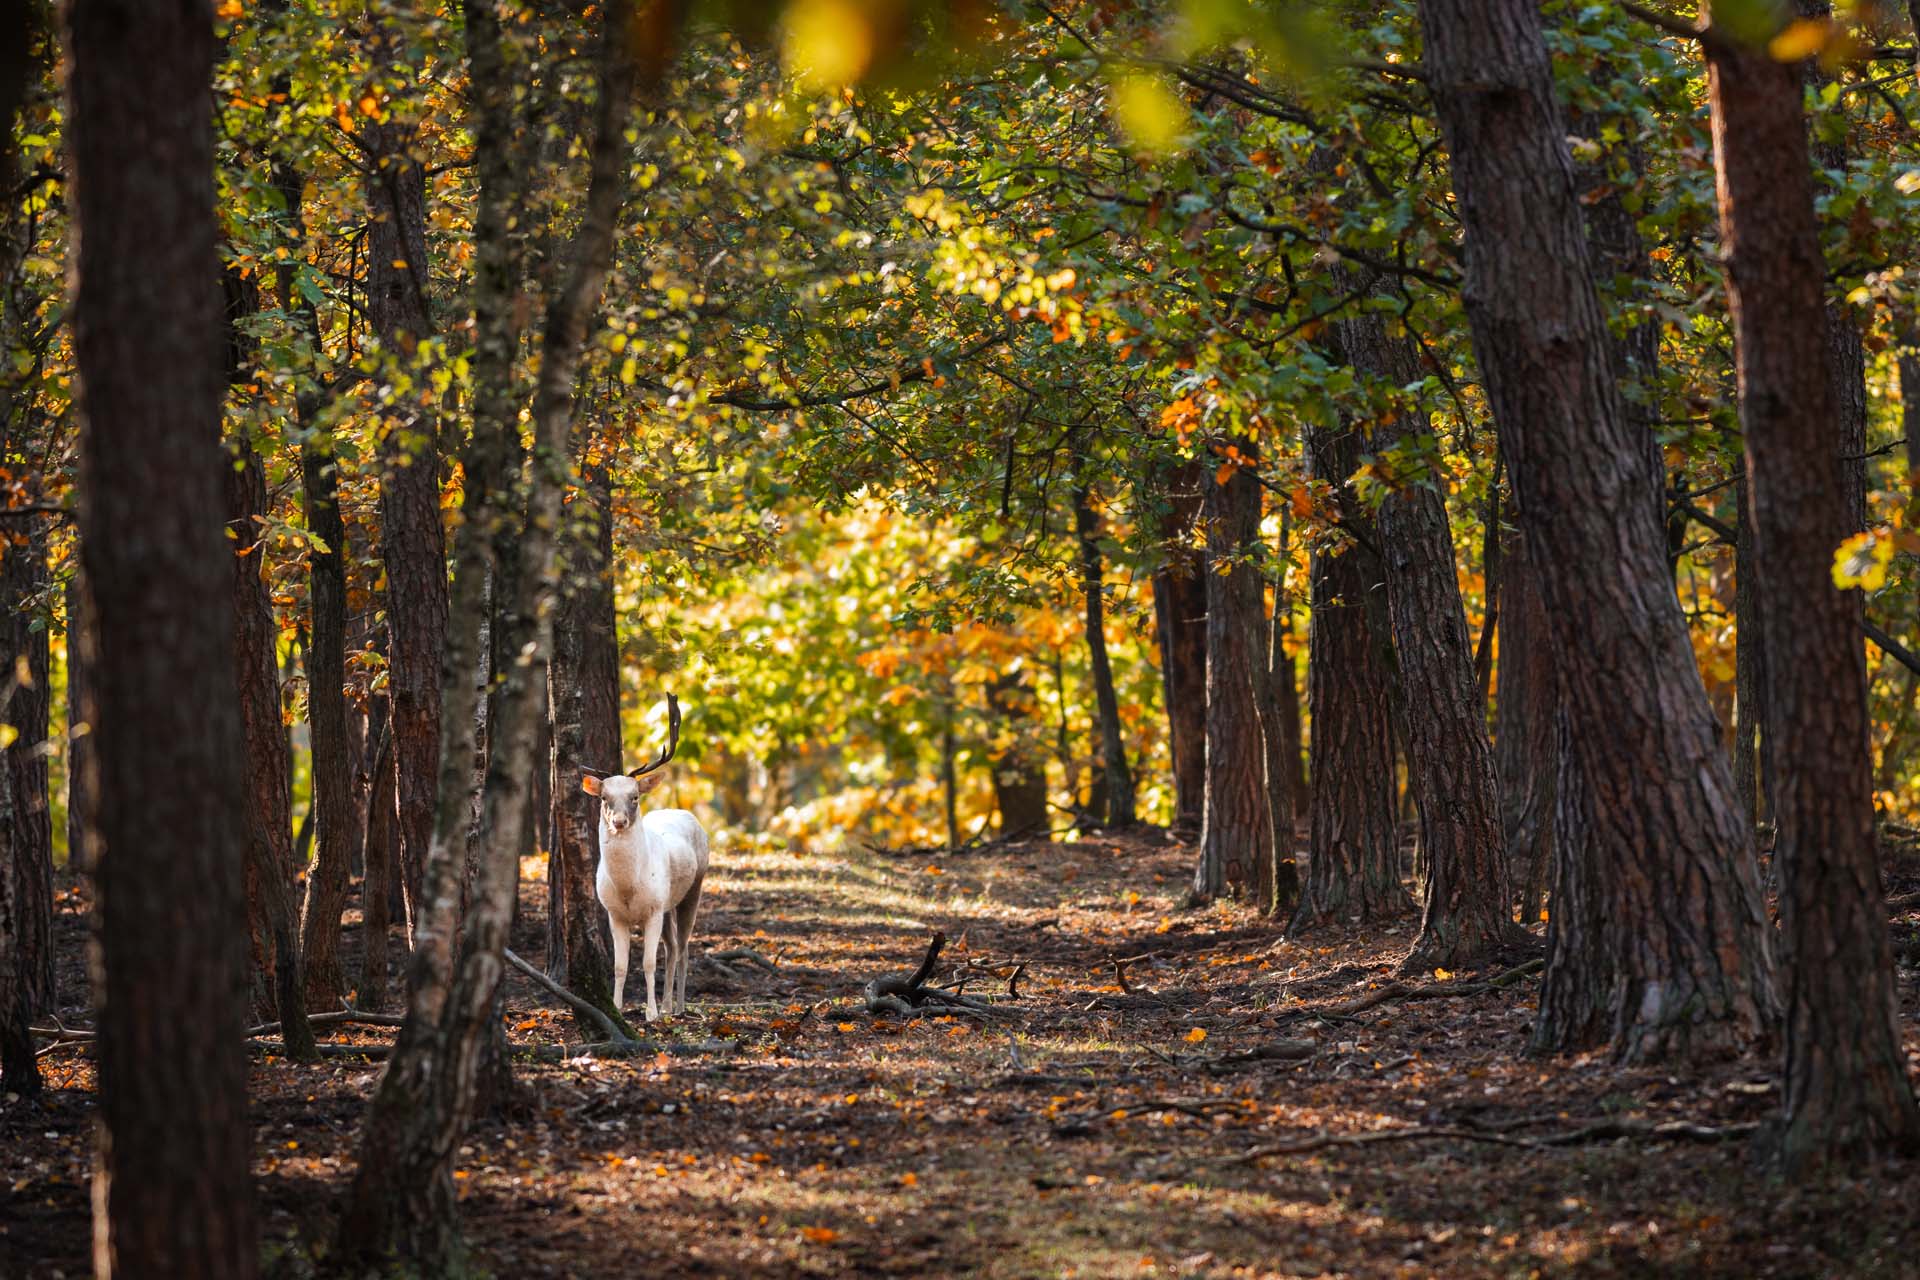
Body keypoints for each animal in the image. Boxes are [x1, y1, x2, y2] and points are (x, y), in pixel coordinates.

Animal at [583, 694, 714, 1028]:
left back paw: (676, 1007)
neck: (629, 888)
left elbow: (647, 962)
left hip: (693, 888)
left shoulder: (653, 910)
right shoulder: (614, 913)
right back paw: (668, 1005)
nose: (618, 822)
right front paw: (617, 1008)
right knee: (672, 948)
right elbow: (620, 965)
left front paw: (651, 1013)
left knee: (683, 948)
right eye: (603, 797)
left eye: (635, 797)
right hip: (667, 904)